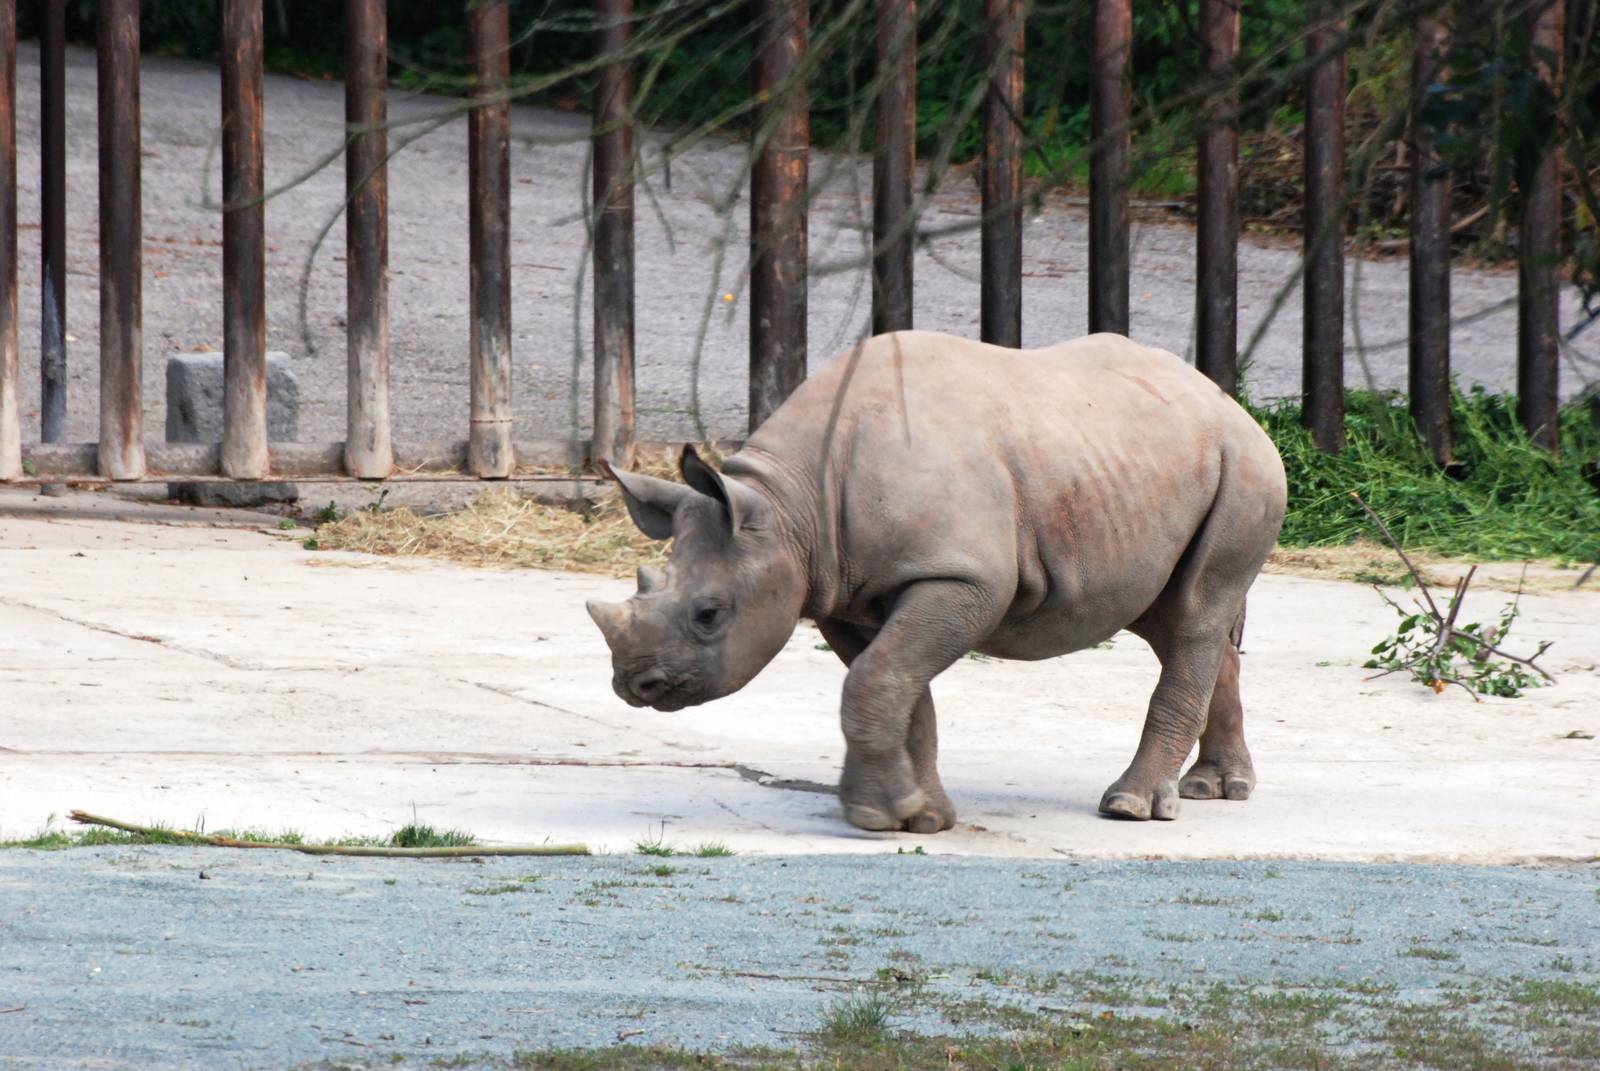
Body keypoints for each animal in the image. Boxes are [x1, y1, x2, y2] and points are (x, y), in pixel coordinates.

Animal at [587, 331, 1287, 834]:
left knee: (1194, 613)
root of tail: (1230, 404)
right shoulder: (846, 592)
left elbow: (877, 679)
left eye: (709, 614)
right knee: (1172, 621)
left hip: (1246, 471)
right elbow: (895, 686)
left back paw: (1130, 807)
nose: (633, 685)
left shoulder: (960, 577)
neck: (790, 509)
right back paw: (1216, 790)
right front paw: (918, 816)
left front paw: (875, 816)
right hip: (1142, 469)